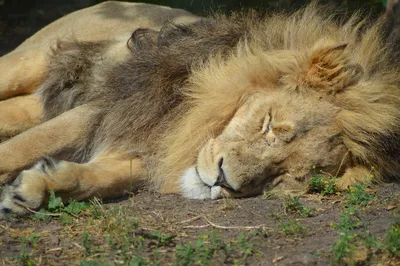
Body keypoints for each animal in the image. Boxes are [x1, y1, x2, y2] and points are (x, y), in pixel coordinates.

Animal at [0, 1, 400, 218]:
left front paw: (35, 189)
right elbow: (22, 148)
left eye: (286, 175)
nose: (224, 181)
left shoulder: (150, 151)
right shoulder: (106, 109)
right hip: (31, 59)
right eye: (269, 124)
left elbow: (98, 178)